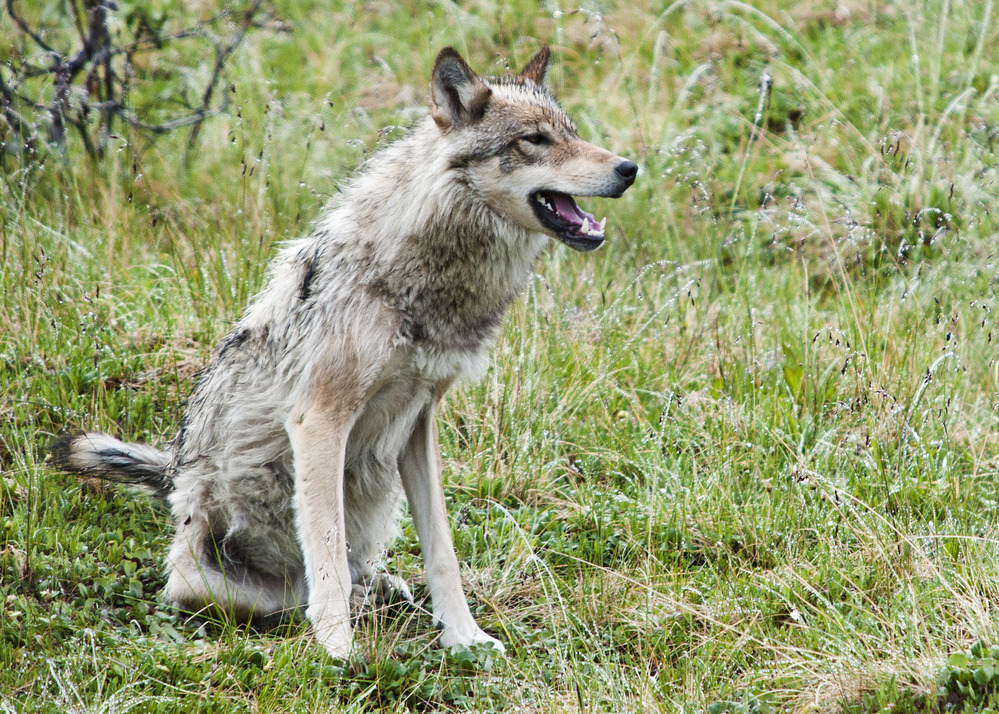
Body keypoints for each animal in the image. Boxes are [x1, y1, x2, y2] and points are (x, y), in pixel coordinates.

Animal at [52, 46, 637, 658]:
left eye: (571, 132)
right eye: (534, 140)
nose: (628, 168)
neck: (416, 282)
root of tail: (172, 475)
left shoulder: (420, 419)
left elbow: (442, 550)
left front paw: (464, 638)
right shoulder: (320, 419)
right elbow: (327, 548)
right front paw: (337, 650)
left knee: (362, 571)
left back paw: (381, 591)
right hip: (207, 574)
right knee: (275, 590)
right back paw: (344, 607)